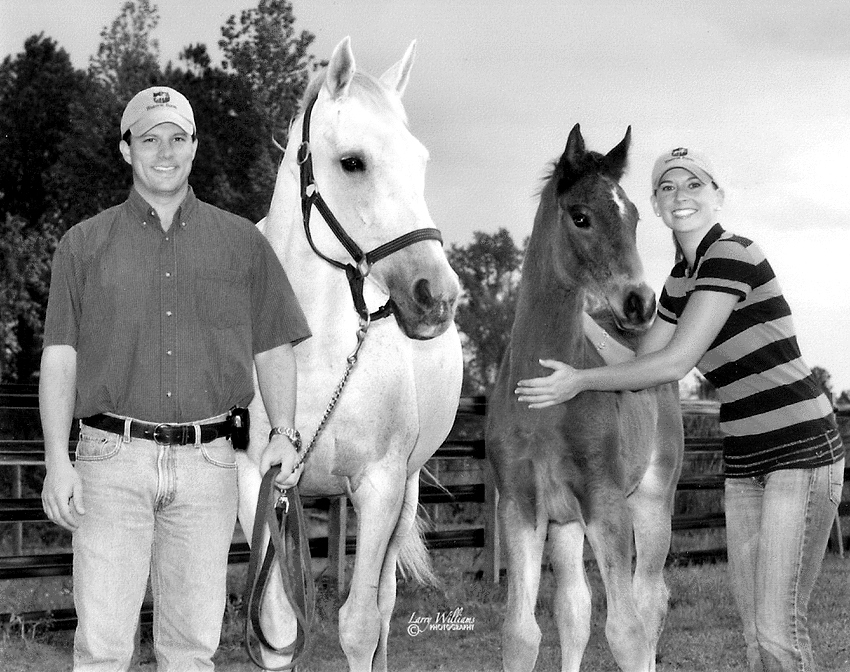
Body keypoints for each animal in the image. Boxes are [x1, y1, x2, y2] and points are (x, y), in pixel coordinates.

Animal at [232, 39, 460, 672]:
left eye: (421, 161)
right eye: (353, 162)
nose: (437, 296)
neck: (311, 359)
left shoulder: (380, 486)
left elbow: (359, 626)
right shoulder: (259, 484)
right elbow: (276, 628)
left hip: (406, 488)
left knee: (382, 607)